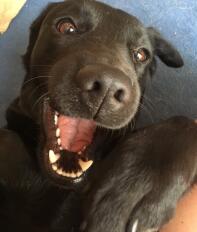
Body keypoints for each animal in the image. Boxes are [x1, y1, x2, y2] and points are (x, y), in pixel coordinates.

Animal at [1, 0, 195, 231]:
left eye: (141, 54)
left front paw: (130, 189)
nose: (108, 87)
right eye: (66, 27)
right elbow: (8, 138)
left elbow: (186, 123)